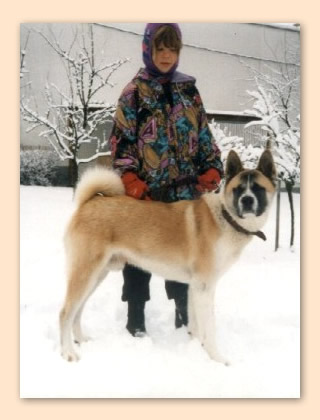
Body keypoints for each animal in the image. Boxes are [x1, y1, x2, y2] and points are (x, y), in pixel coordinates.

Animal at [61, 149, 276, 362]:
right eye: (238, 189)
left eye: (258, 188)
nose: (247, 200)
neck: (225, 216)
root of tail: (90, 202)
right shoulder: (205, 287)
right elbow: (209, 327)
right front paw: (217, 358)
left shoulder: (195, 287)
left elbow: (195, 324)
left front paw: (196, 348)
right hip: (85, 273)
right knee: (65, 313)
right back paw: (68, 353)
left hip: (97, 275)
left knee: (78, 310)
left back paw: (81, 340)